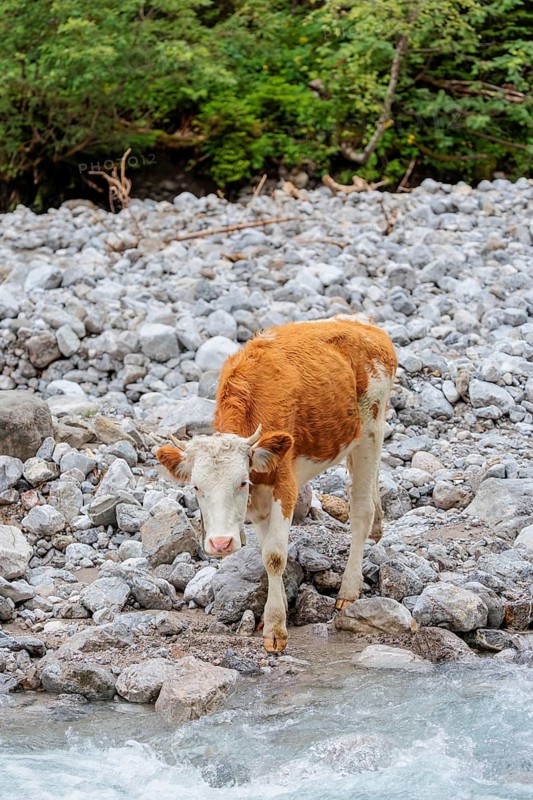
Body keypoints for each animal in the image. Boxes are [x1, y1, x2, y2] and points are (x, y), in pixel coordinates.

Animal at [156, 317, 397, 653]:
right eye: (196, 487)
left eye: (241, 482)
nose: (220, 543)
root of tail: (363, 323)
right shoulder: (259, 503)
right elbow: (264, 552)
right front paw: (280, 605)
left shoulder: (285, 485)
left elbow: (274, 556)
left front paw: (275, 627)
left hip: (371, 430)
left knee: (360, 510)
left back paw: (349, 589)